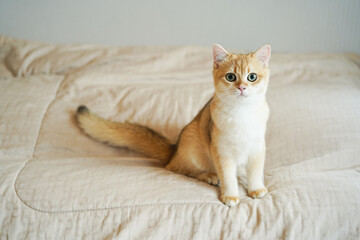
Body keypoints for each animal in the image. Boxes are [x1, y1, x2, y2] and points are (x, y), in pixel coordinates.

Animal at [75, 44, 270, 206]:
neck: (243, 114)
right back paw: (209, 175)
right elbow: (228, 178)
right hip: (193, 145)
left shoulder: (257, 149)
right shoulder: (222, 152)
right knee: (179, 168)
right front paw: (230, 196)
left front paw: (256, 189)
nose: (242, 87)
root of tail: (174, 149)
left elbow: (255, 173)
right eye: (231, 77)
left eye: (252, 77)